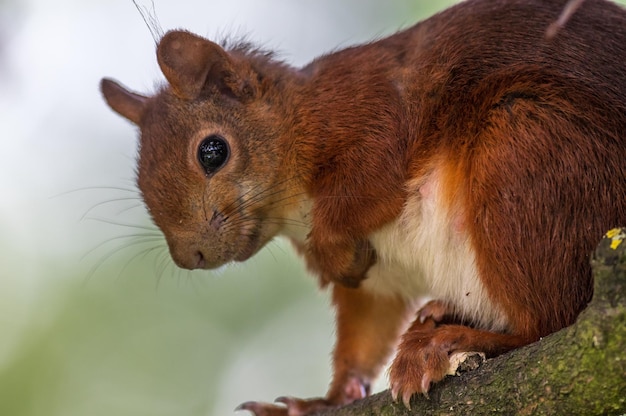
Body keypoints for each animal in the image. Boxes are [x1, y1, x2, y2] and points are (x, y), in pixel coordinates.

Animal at [100, 0, 624, 414]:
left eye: (213, 151)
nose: (191, 257)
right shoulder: (380, 281)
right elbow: (364, 328)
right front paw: (324, 400)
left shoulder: (370, 114)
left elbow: (371, 186)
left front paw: (336, 254)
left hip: (528, 150)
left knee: (551, 319)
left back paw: (453, 338)